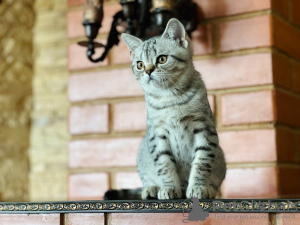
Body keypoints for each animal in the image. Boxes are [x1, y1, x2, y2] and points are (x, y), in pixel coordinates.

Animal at [105, 18, 225, 200]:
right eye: (140, 64)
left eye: (162, 59)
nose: (148, 71)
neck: (170, 98)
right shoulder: (157, 134)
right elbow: (164, 164)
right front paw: (169, 188)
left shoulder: (204, 129)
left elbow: (202, 161)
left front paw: (198, 187)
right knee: (147, 178)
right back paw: (152, 189)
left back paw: (208, 188)